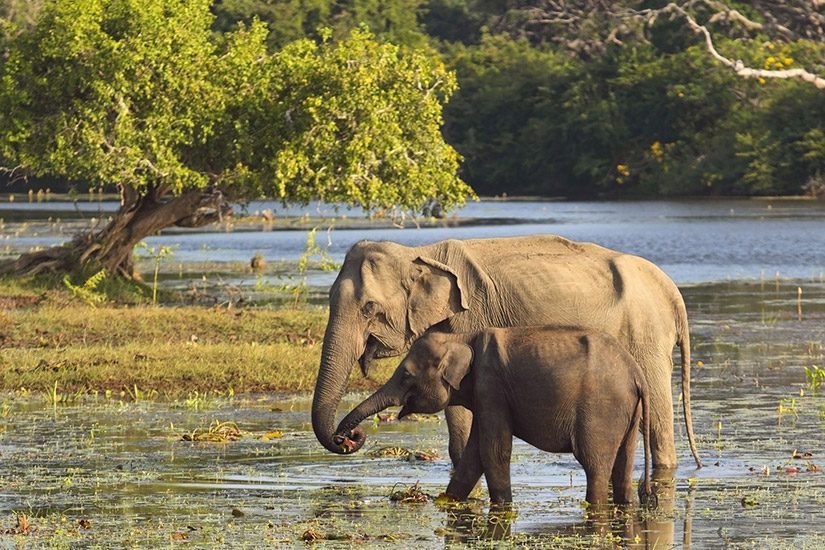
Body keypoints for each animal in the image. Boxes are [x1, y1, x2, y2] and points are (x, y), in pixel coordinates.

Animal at [312, 235, 700, 472]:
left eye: (368, 308)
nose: (350, 438)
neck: (419, 252)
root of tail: (672, 291)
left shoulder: (472, 318)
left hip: (646, 334)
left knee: (657, 416)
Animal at [334, 328, 652, 508]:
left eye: (406, 375)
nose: (348, 438)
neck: (461, 338)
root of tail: (637, 374)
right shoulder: (484, 394)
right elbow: (474, 454)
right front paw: (445, 500)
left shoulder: (491, 386)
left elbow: (493, 450)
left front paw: (502, 506)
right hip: (627, 413)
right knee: (623, 465)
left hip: (601, 409)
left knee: (594, 464)